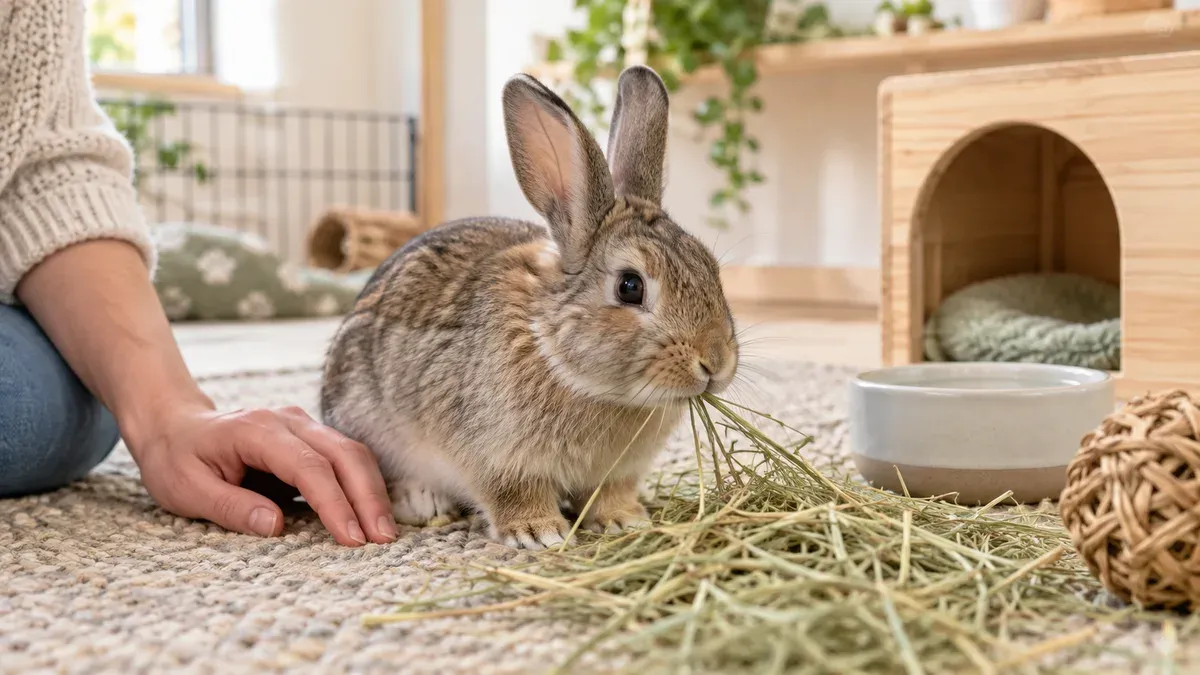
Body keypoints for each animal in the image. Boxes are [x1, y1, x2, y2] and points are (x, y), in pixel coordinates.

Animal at [318, 64, 740, 550]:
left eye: (711, 267)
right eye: (630, 287)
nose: (715, 363)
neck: (554, 351)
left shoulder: (616, 472)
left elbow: (611, 494)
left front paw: (624, 520)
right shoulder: (497, 457)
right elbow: (513, 492)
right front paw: (538, 532)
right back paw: (423, 502)